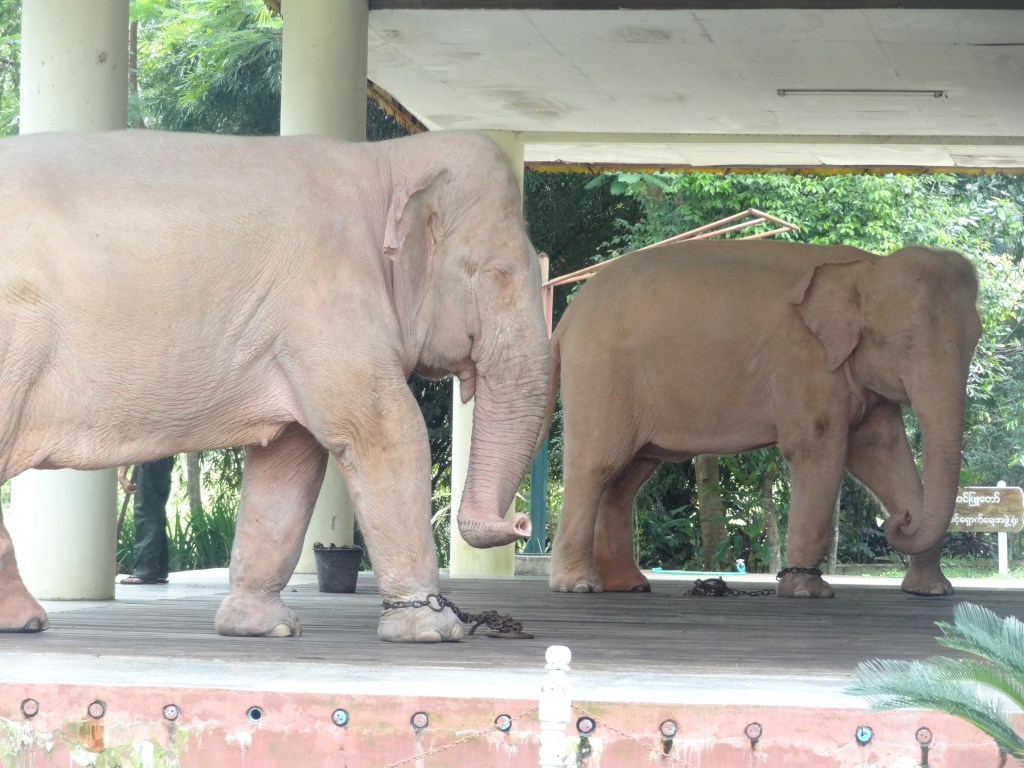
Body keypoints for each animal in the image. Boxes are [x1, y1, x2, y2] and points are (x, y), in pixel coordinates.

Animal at [0, 129, 548, 642]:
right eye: (499, 273)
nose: (521, 523)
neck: (389, 157)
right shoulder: (327, 300)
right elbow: (384, 430)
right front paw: (433, 629)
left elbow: (290, 459)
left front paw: (266, 628)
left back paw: (23, 622)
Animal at [544, 240, 981, 598]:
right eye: (906, 342)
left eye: (976, 338)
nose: (902, 520)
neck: (867, 267)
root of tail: (567, 320)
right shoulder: (804, 360)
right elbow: (818, 448)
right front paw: (807, 592)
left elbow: (882, 453)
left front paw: (932, 590)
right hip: (601, 375)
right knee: (597, 466)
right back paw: (579, 585)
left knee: (627, 478)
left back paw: (628, 585)